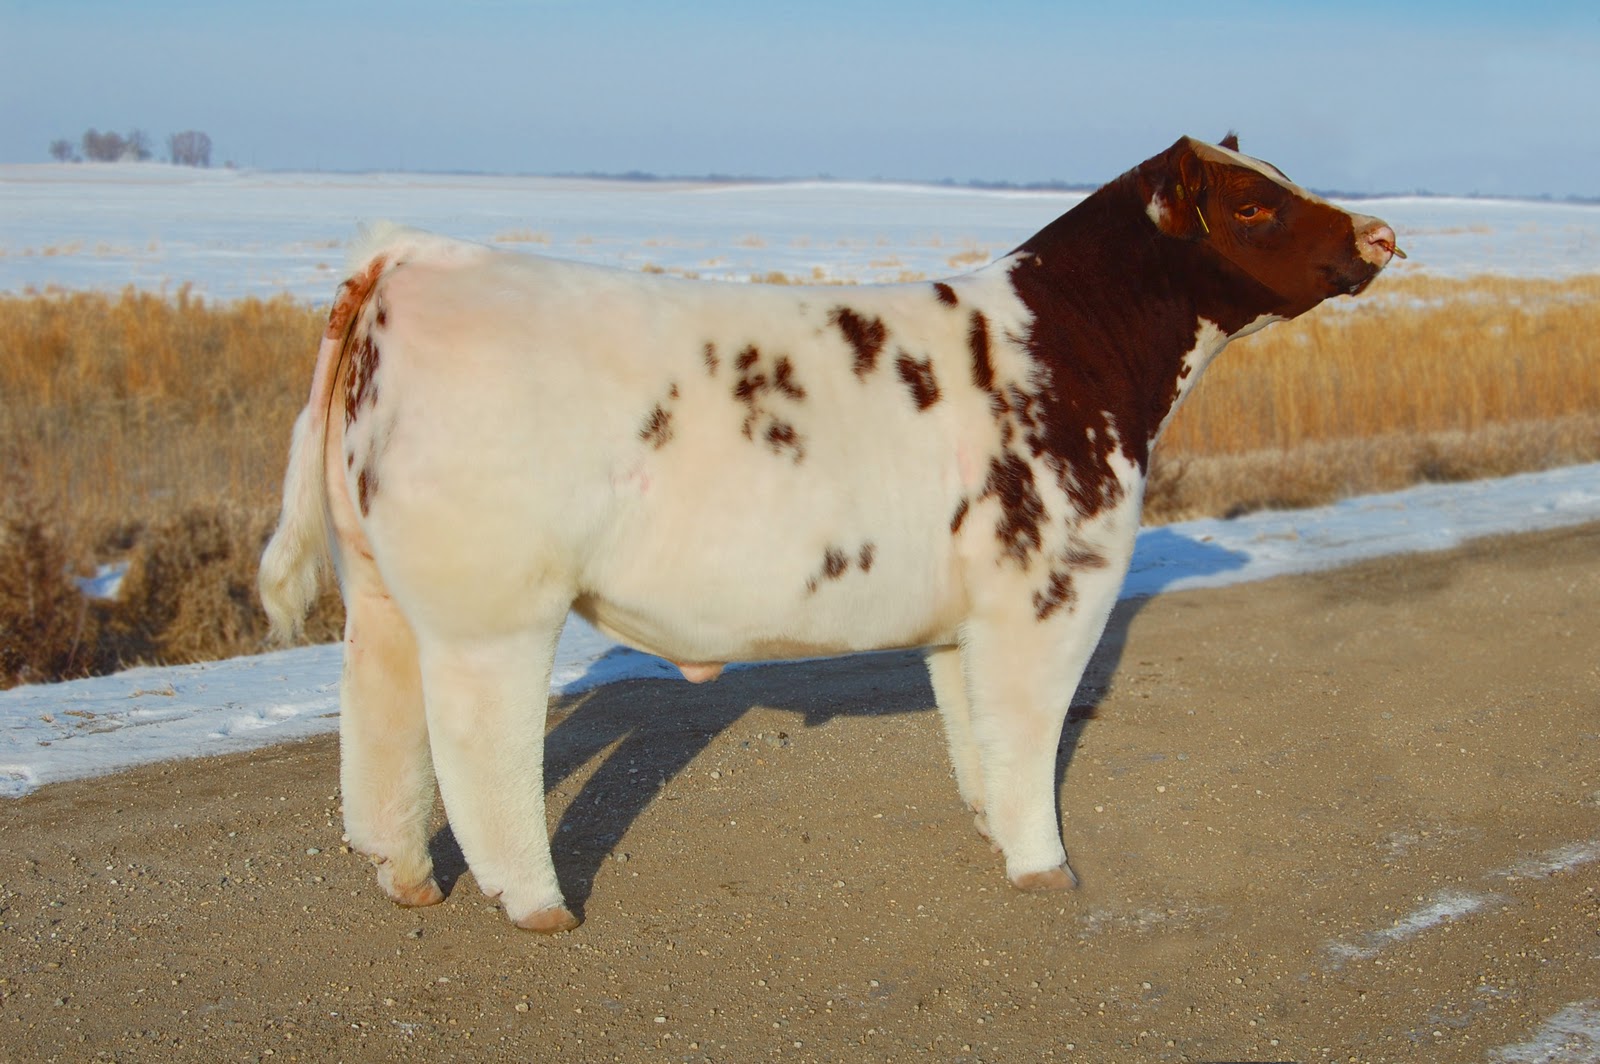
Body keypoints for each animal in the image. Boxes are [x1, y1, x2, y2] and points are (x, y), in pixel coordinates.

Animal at [260, 134, 1399, 933]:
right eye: (1252, 204)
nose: (1382, 235)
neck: (1071, 347)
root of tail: (416, 254)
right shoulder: (1049, 587)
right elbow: (1030, 731)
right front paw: (1046, 867)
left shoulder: (968, 615)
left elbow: (977, 732)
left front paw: (994, 831)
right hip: (491, 606)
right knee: (474, 741)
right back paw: (536, 902)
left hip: (381, 589)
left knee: (378, 724)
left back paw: (405, 877)